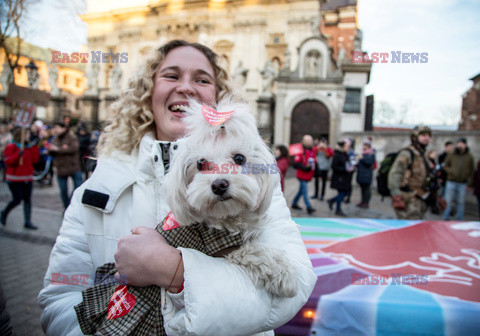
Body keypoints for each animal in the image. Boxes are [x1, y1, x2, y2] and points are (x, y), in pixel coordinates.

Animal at [163, 98, 298, 300]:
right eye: (200, 164)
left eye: (240, 158)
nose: (219, 185)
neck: (227, 220)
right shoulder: (223, 249)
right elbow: (253, 251)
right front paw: (284, 273)